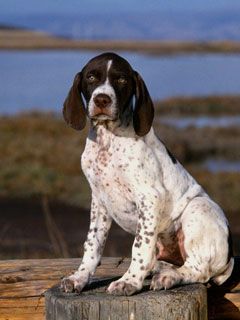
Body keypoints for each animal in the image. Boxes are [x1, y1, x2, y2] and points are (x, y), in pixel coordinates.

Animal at [60, 52, 234, 296]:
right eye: (91, 77)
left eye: (121, 79)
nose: (102, 100)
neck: (108, 139)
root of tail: (230, 260)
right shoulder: (99, 200)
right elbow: (92, 244)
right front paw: (79, 277)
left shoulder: (150, 196)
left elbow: (140, 245)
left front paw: (129, 281)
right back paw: (160, 269)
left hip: (199, 207)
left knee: (198, 270)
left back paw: (168, 277)